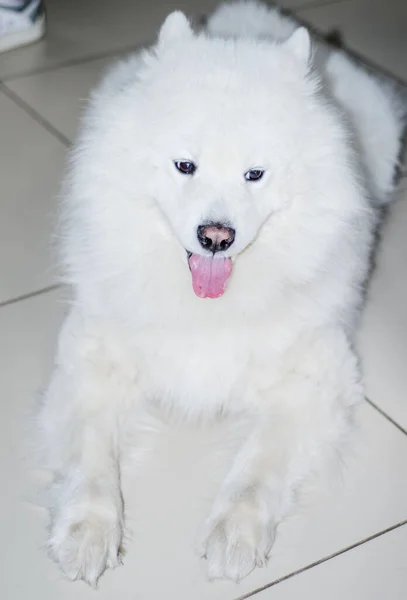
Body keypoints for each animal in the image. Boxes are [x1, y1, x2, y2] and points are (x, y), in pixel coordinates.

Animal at [37, 0, 404, 588]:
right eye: (185, 165)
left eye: (255, 174)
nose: (215, 237)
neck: (205, 307)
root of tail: (258, 15)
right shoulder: (91, 359)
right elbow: (90, 458)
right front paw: (88, 533)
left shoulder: (315, 375)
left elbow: (259, 463)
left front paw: (235, 534)